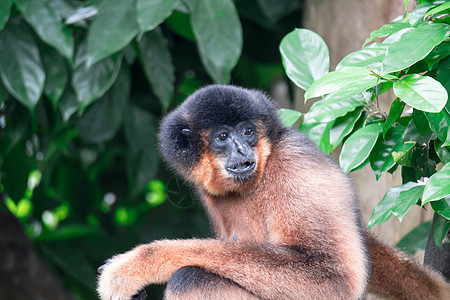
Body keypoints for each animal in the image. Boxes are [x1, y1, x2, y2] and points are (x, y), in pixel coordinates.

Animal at [96, 85, 448, 300]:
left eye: (248, 131)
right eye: (223, 136)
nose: (242, 149)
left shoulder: (298, 169)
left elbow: (332, 280)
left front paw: (135, 266)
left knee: (191, 278)